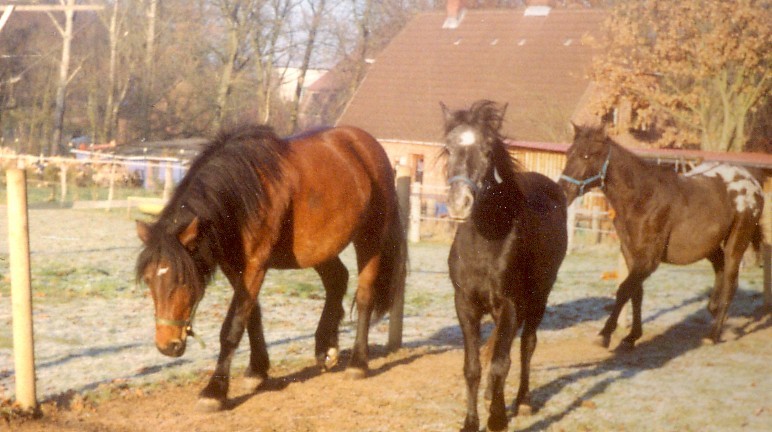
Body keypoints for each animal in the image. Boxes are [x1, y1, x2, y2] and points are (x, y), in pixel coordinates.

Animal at [135, 124, 407, 412]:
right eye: (150, 281)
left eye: (184, 281)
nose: (167, 345)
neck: (244, 191)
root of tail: (367, 145)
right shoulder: (234, 267)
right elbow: (251, 315)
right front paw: (257, 370)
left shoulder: (256, 263)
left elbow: (232, 326)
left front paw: (215, 391)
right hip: (320, 245)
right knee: (337, 280)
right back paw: (326, 347)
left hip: (370, 238)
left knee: (364, 296)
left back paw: (358, 363)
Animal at [441, 100, 567, 432]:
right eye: (448, 148)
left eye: (487, 150)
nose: (459, 203)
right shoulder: (466, 304)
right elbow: (473, 366)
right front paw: (471, 422)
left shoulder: (511, 303)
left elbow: (501, 363)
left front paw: (497, 418)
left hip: (539, 297)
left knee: (526, 345)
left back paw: (522, 400)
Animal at [559, 124, 764, 349]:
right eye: (569, 153)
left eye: (587, 155)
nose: (563, 192)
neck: (642, 197)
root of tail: (753, 184)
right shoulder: (631, 254)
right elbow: (636, 293)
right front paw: (632, 336)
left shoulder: (649, 260)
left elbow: (623, 290)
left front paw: (605, 334)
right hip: (708, 245)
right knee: (719, 267)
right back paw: (714, 308)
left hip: (736, 243)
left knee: (730, 281)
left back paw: (713, 334)